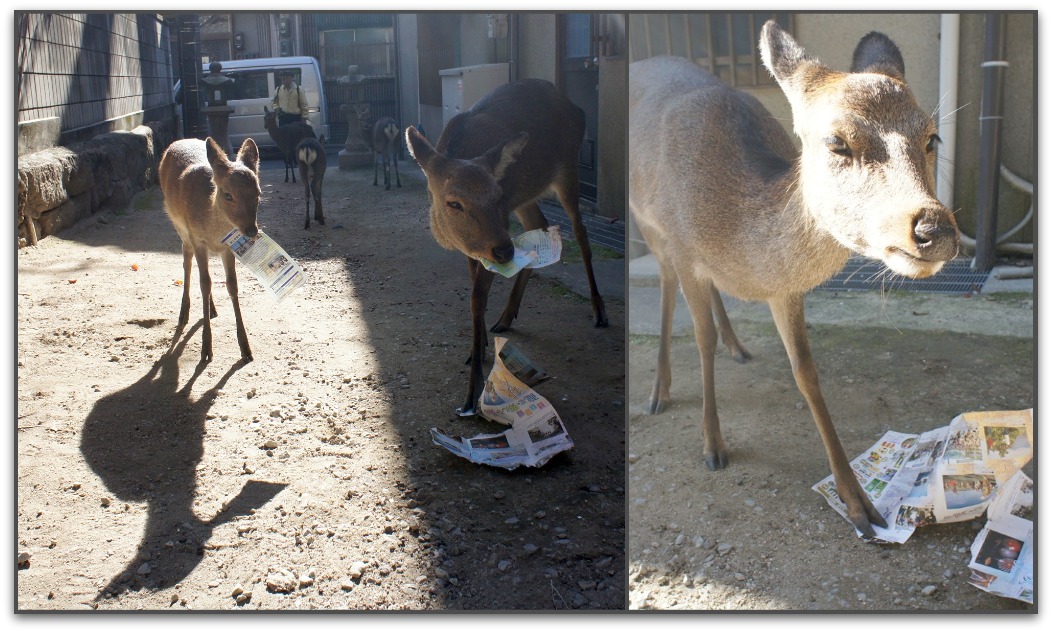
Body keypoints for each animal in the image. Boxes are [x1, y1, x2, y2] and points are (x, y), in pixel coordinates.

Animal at [157, 136, 260, 363]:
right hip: (180, 228)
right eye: (228, 195)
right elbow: (204, 283)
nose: (251, 230)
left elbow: (232, 285)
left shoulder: (227, 247)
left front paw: (246, 348)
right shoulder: (198, 239)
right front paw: (206, 349)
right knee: (187, 263)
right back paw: (184, 313)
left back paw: (211, 309)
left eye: (258, 193)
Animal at [406, 77, 614, 414]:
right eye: (454, 202)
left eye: (497, 195)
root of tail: (578, 108)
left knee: (581, 232)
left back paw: (599, 310)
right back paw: (505, 317)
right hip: (528, 196)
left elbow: (476, 297)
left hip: (568, 168)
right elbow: (475, 287)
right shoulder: (475, 247)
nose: (505, 251)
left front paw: (472, 392)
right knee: (537, 225)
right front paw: (478, 349)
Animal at [622, 20, 963, 536]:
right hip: (647, 225)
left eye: (931, 137)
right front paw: (713, 445)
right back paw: (659, 391)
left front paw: (858, 501)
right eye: (837, 142)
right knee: (664, 284)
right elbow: (699, 339)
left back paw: (737, 345)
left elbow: (805, 370)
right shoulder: (683, 246)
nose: (934, 229)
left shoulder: (784, 289)